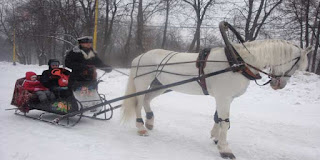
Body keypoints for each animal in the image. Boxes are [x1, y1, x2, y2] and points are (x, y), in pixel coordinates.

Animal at [121, 39, 312, 159]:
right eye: (296, 64)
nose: (279, 85)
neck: (237, 63)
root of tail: (139, 57)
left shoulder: (226, 98)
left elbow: (218, 118)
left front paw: (215, 137)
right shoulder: (224, 97)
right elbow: (225, 121)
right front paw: (225, 149)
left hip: (160, 85)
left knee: (147, 100)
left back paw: (150, 121)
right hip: (143, 83)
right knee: (138, 103)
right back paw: (141, 127)